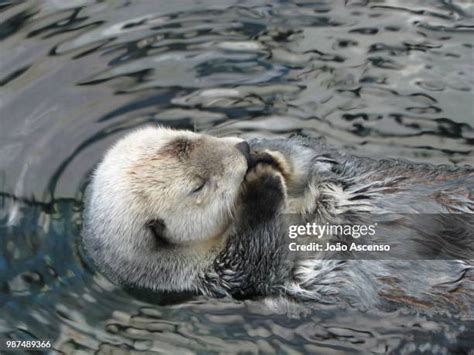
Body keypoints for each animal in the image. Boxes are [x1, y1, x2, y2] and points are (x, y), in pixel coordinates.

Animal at [83, 126, 474, 312]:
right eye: (197, 187)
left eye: (189, 134)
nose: (243, 149)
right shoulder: (227, 276)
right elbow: (262, 253)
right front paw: (261, 181)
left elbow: (305, 160)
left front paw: (267, 156)